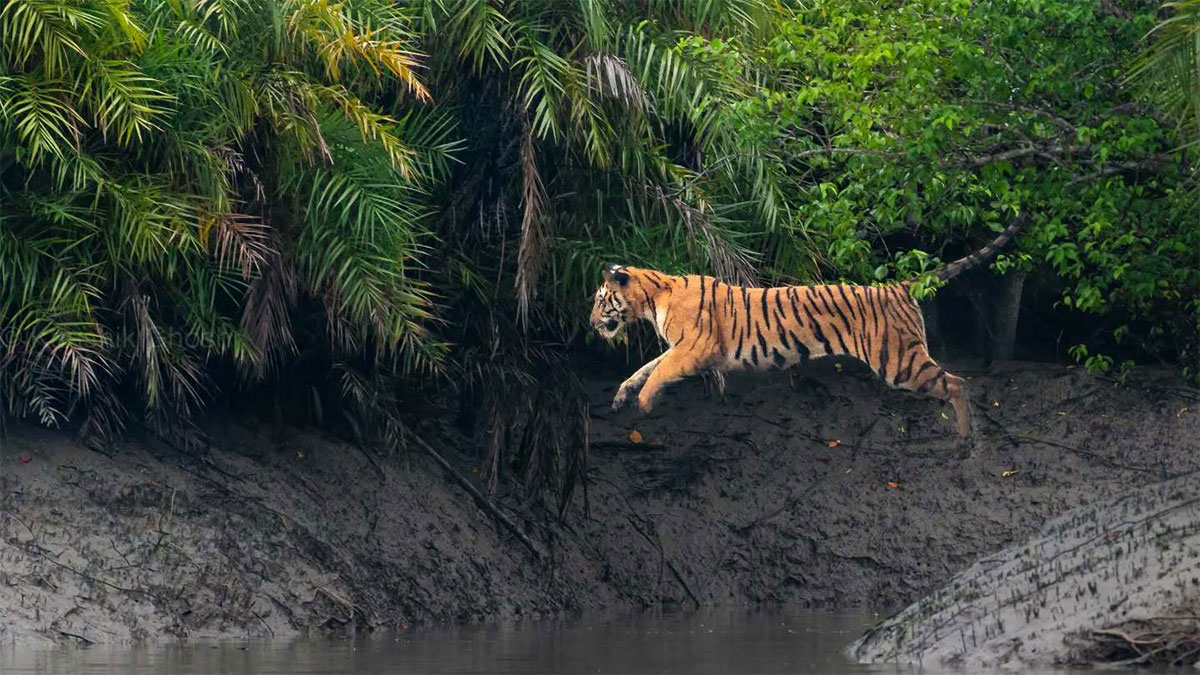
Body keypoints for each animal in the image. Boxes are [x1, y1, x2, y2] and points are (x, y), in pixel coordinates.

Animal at [589, 212, 1027, 439]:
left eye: (599, 299)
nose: (591, 324)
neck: (651, 298)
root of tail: (897, 286)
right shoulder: (679, 347)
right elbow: (642, 369)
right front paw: (621, 396)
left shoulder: (695, 347)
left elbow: (658, 371)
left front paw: (645, 403)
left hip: (898, 362)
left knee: (956, 383)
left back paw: (965, 439)